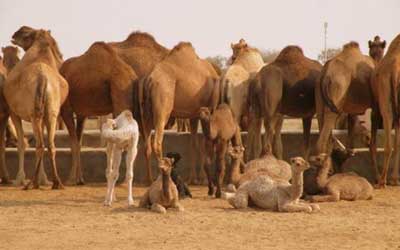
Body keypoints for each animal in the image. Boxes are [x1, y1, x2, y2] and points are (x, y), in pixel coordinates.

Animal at [4, 26, 68, 188]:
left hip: (34, 115)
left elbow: (21, 144)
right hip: (50, 113)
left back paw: (31, 183)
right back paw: (56, 182)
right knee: (49, 145)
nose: (16, 32)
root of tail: (43, 78)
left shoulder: (14, 112)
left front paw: (19, 179)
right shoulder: (45, 114)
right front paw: (43, 179)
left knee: (39, 145)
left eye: (27, 35)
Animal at [59, 41, 138, 186]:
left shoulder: (66, 109)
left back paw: (121, 181)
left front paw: (71, 180)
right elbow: (78, 142)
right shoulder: (82, 113)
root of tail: (132, 76)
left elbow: (73, 143)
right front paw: (80, 179)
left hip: (120, 93)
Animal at [138, 42, 220, 186]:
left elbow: (193, 144)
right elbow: (206, 142)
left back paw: (149, 180)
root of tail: (149, 79)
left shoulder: (194, 114)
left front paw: (193, 178)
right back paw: (163, 176)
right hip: (162, 106)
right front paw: (203, 179)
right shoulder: (209, 109)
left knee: (146, 145)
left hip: (145, 112)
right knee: (157, 142)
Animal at [314, 41, 376, 180]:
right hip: (338, 87)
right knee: (327, 128)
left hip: (319, 95)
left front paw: (350, 152)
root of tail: (326, 73)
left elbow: (352, 123)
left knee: (322, 123)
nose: (366, 138)